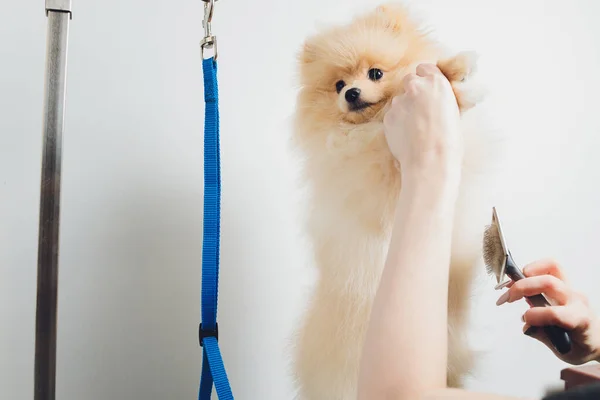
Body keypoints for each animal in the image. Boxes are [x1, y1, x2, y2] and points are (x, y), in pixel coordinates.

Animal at [292, 3, 500, 400]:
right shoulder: (380, 176)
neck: (371, 125)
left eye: (375, 73)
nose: (352, 93)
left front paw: (456, 69)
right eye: (338, 85)